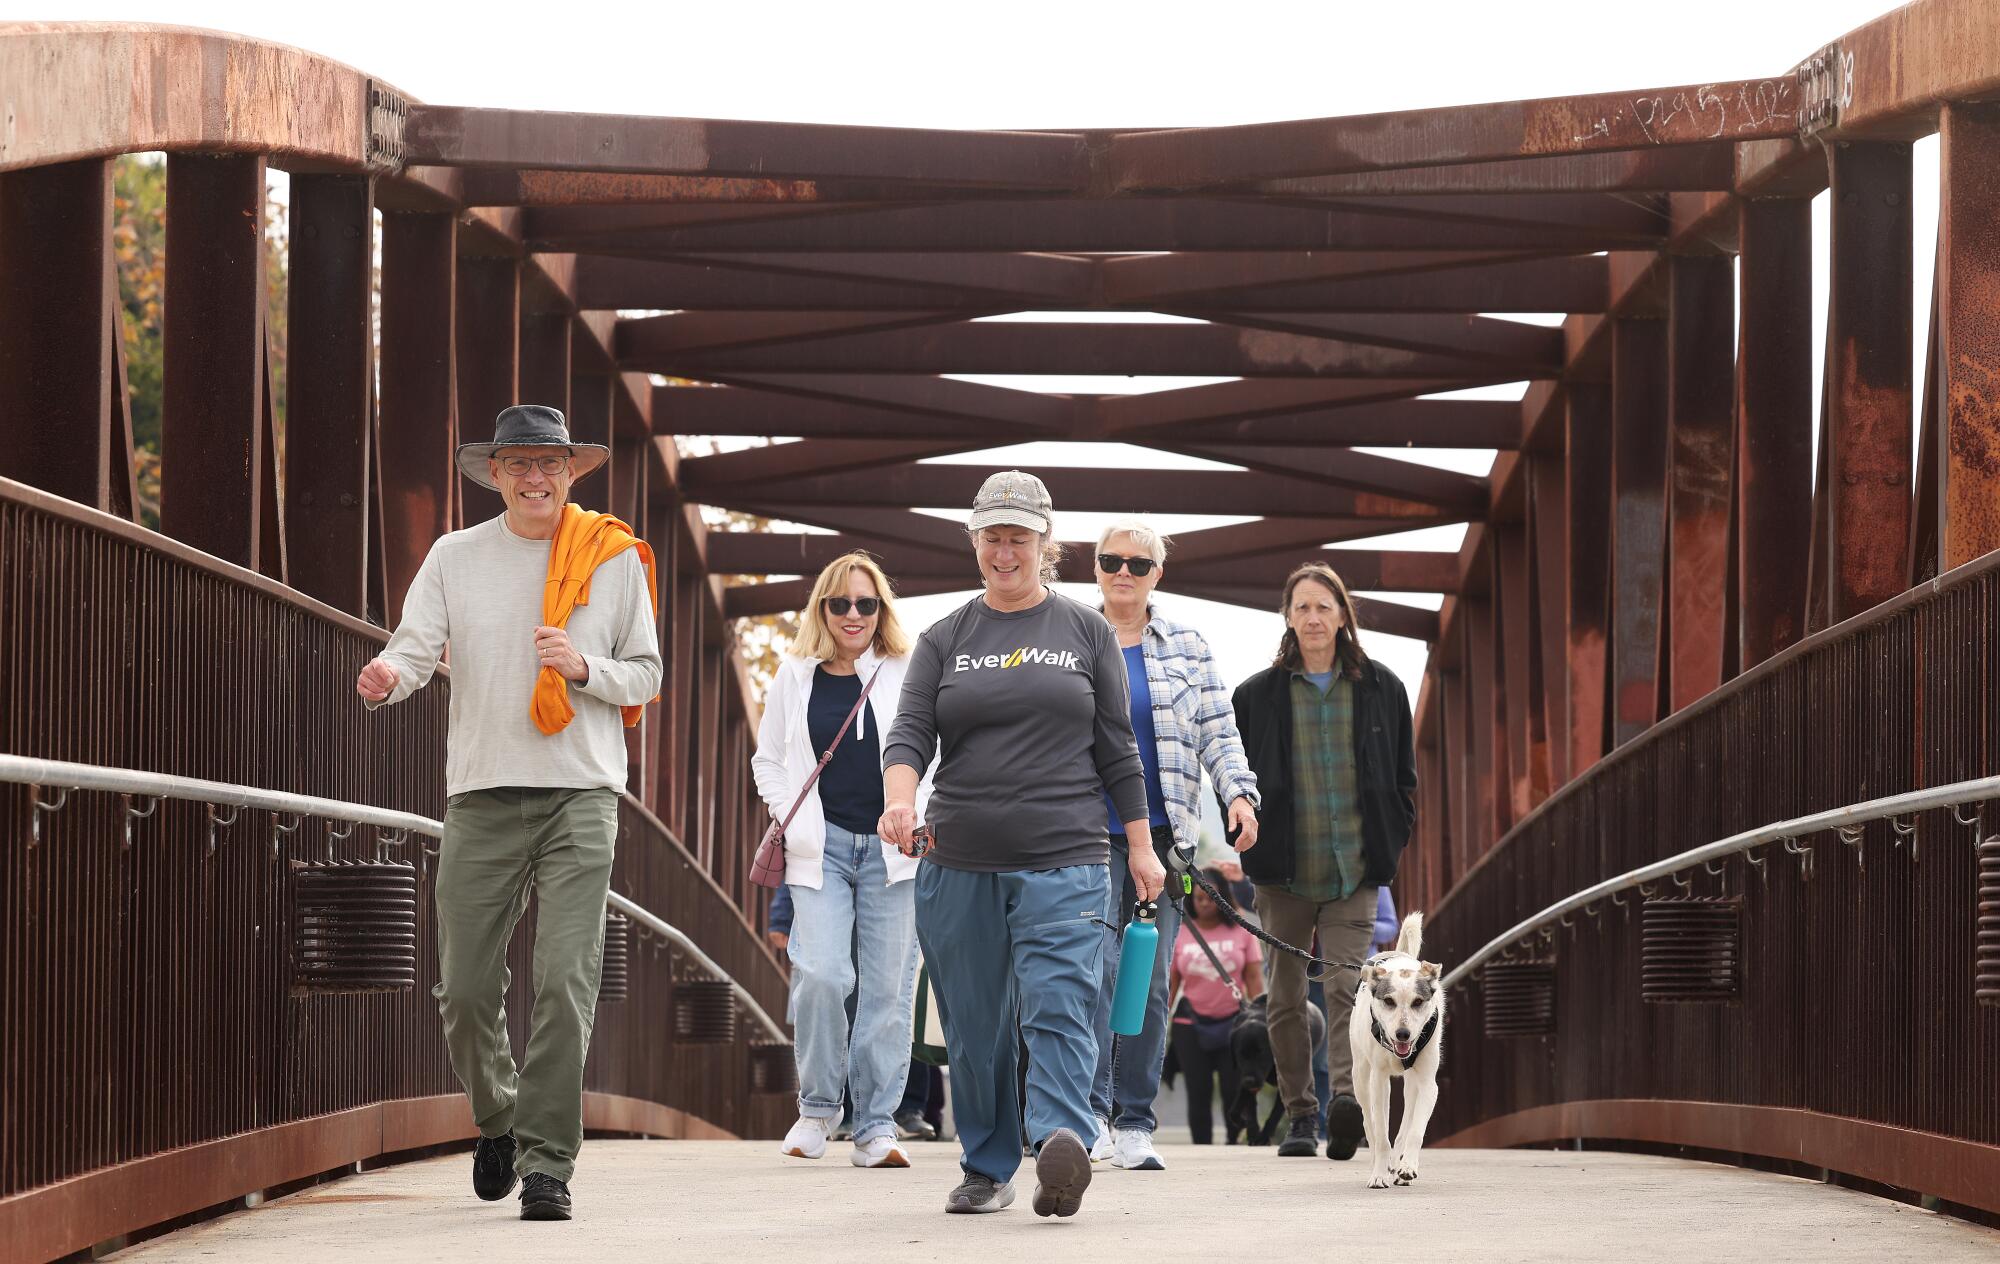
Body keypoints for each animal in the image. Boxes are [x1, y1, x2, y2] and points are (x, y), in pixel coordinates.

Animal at [1352, 908, 1448, 1184]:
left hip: (1412, 1083)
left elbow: (1415, 1130)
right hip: (1360, 1076)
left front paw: (1407, 1167)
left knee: (1406, 1123)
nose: (1403, 1034)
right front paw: (1378, 1175)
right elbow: (1380, 1133)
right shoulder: (1379, 1081)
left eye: (1418, 1002)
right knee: (1369, 1123)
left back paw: (1399, 1164)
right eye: (1388, 1001)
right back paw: (1379, 1162)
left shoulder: (1428, 1083)